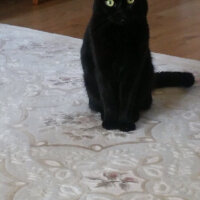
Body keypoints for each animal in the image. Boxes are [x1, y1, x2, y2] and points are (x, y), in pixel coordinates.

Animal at [80, 0, 195, 132]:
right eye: (110, 2)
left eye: (131, 1)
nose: (122, 13)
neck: (120, 36)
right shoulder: (103, 69)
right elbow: (108, 97)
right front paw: (110, 122)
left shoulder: (133, 69)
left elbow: (128, 97)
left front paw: (125, 123)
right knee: (97, 104)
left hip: (146, 76)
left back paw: (134, 115)